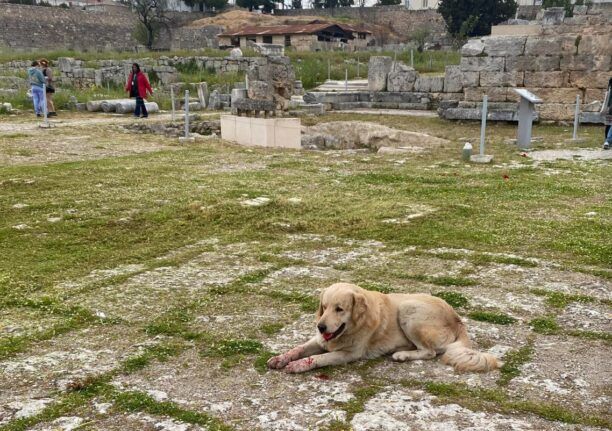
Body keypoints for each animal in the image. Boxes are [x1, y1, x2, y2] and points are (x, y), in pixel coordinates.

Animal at [268, 284, 502, 374]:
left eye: (339, 309)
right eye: (323, 307)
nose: (320, 326)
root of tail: (458, 319)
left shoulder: (349, 354)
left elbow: (319, 358)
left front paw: (299, 365)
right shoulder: (319, 340)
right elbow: (298, 349)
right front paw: (281, 358)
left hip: (408, 310)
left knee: (430, 352)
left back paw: (402, 355)